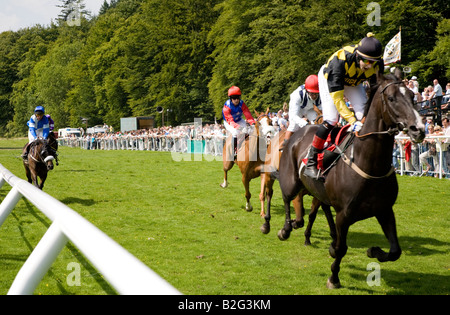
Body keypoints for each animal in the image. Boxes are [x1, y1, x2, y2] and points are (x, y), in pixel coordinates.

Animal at [278, 70, 426, 290]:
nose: (419, 129)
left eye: (412, 96)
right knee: (287, 198)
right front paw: (334, 278)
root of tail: (296, 134)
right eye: (391, 98)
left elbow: (395, 251)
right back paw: (286, 228)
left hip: (318, 191)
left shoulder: (384, 210)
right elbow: (341, 248)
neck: (369, 164)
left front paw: (374, 251)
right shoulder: (344, 215)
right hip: (291, 180)